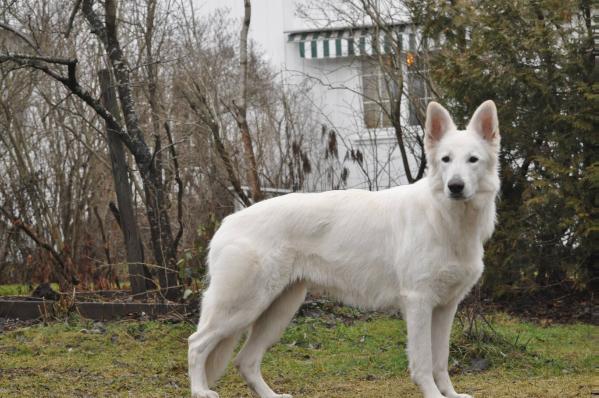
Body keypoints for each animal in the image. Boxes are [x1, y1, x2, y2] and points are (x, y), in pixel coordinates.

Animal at [189, 100, 502, 398]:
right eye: (445, 159)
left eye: (472, 160)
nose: (455, 186)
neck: (445, 218)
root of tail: (226, 223)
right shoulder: (419, 303)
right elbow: (424, 363)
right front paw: (434, 395)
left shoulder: (446, 307)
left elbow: (441, 361)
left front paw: (451, 394)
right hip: (241, 308)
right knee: (196, 344)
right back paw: (200, 390)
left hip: (278, 311)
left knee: (245, 361)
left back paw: (272, 395)